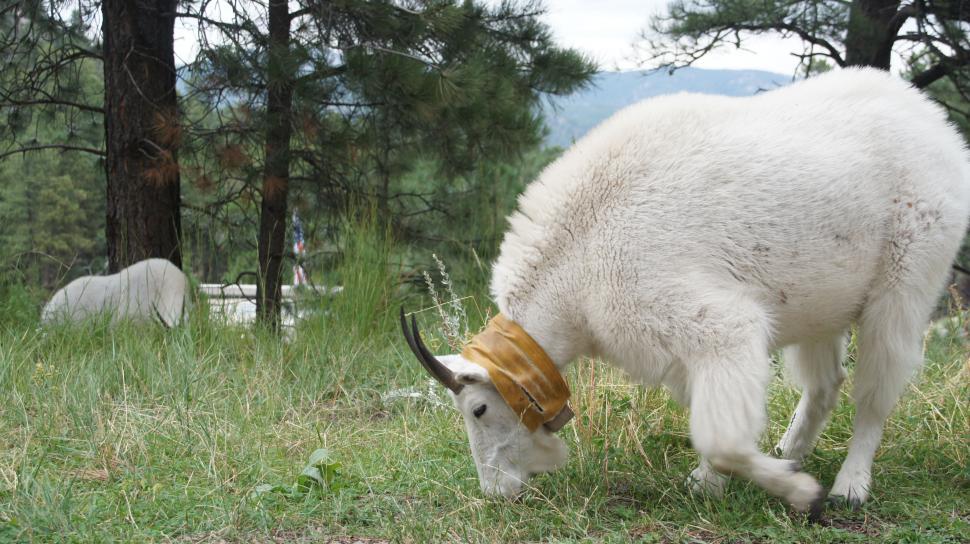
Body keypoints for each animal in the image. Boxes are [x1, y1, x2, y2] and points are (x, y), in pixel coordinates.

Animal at [401, 68, 970, 516]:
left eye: (478, 409)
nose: (496, 491)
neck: (578, 258)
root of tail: (938, 128)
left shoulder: (716, 326)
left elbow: (723, 440)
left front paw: (797, 493)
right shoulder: (682, 353)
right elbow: (711, 423)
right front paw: (711, 483)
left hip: (905, 281)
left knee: (876, 389)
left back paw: (849, 484)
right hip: (821, 303)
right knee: (825, 382)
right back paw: (790, 451)